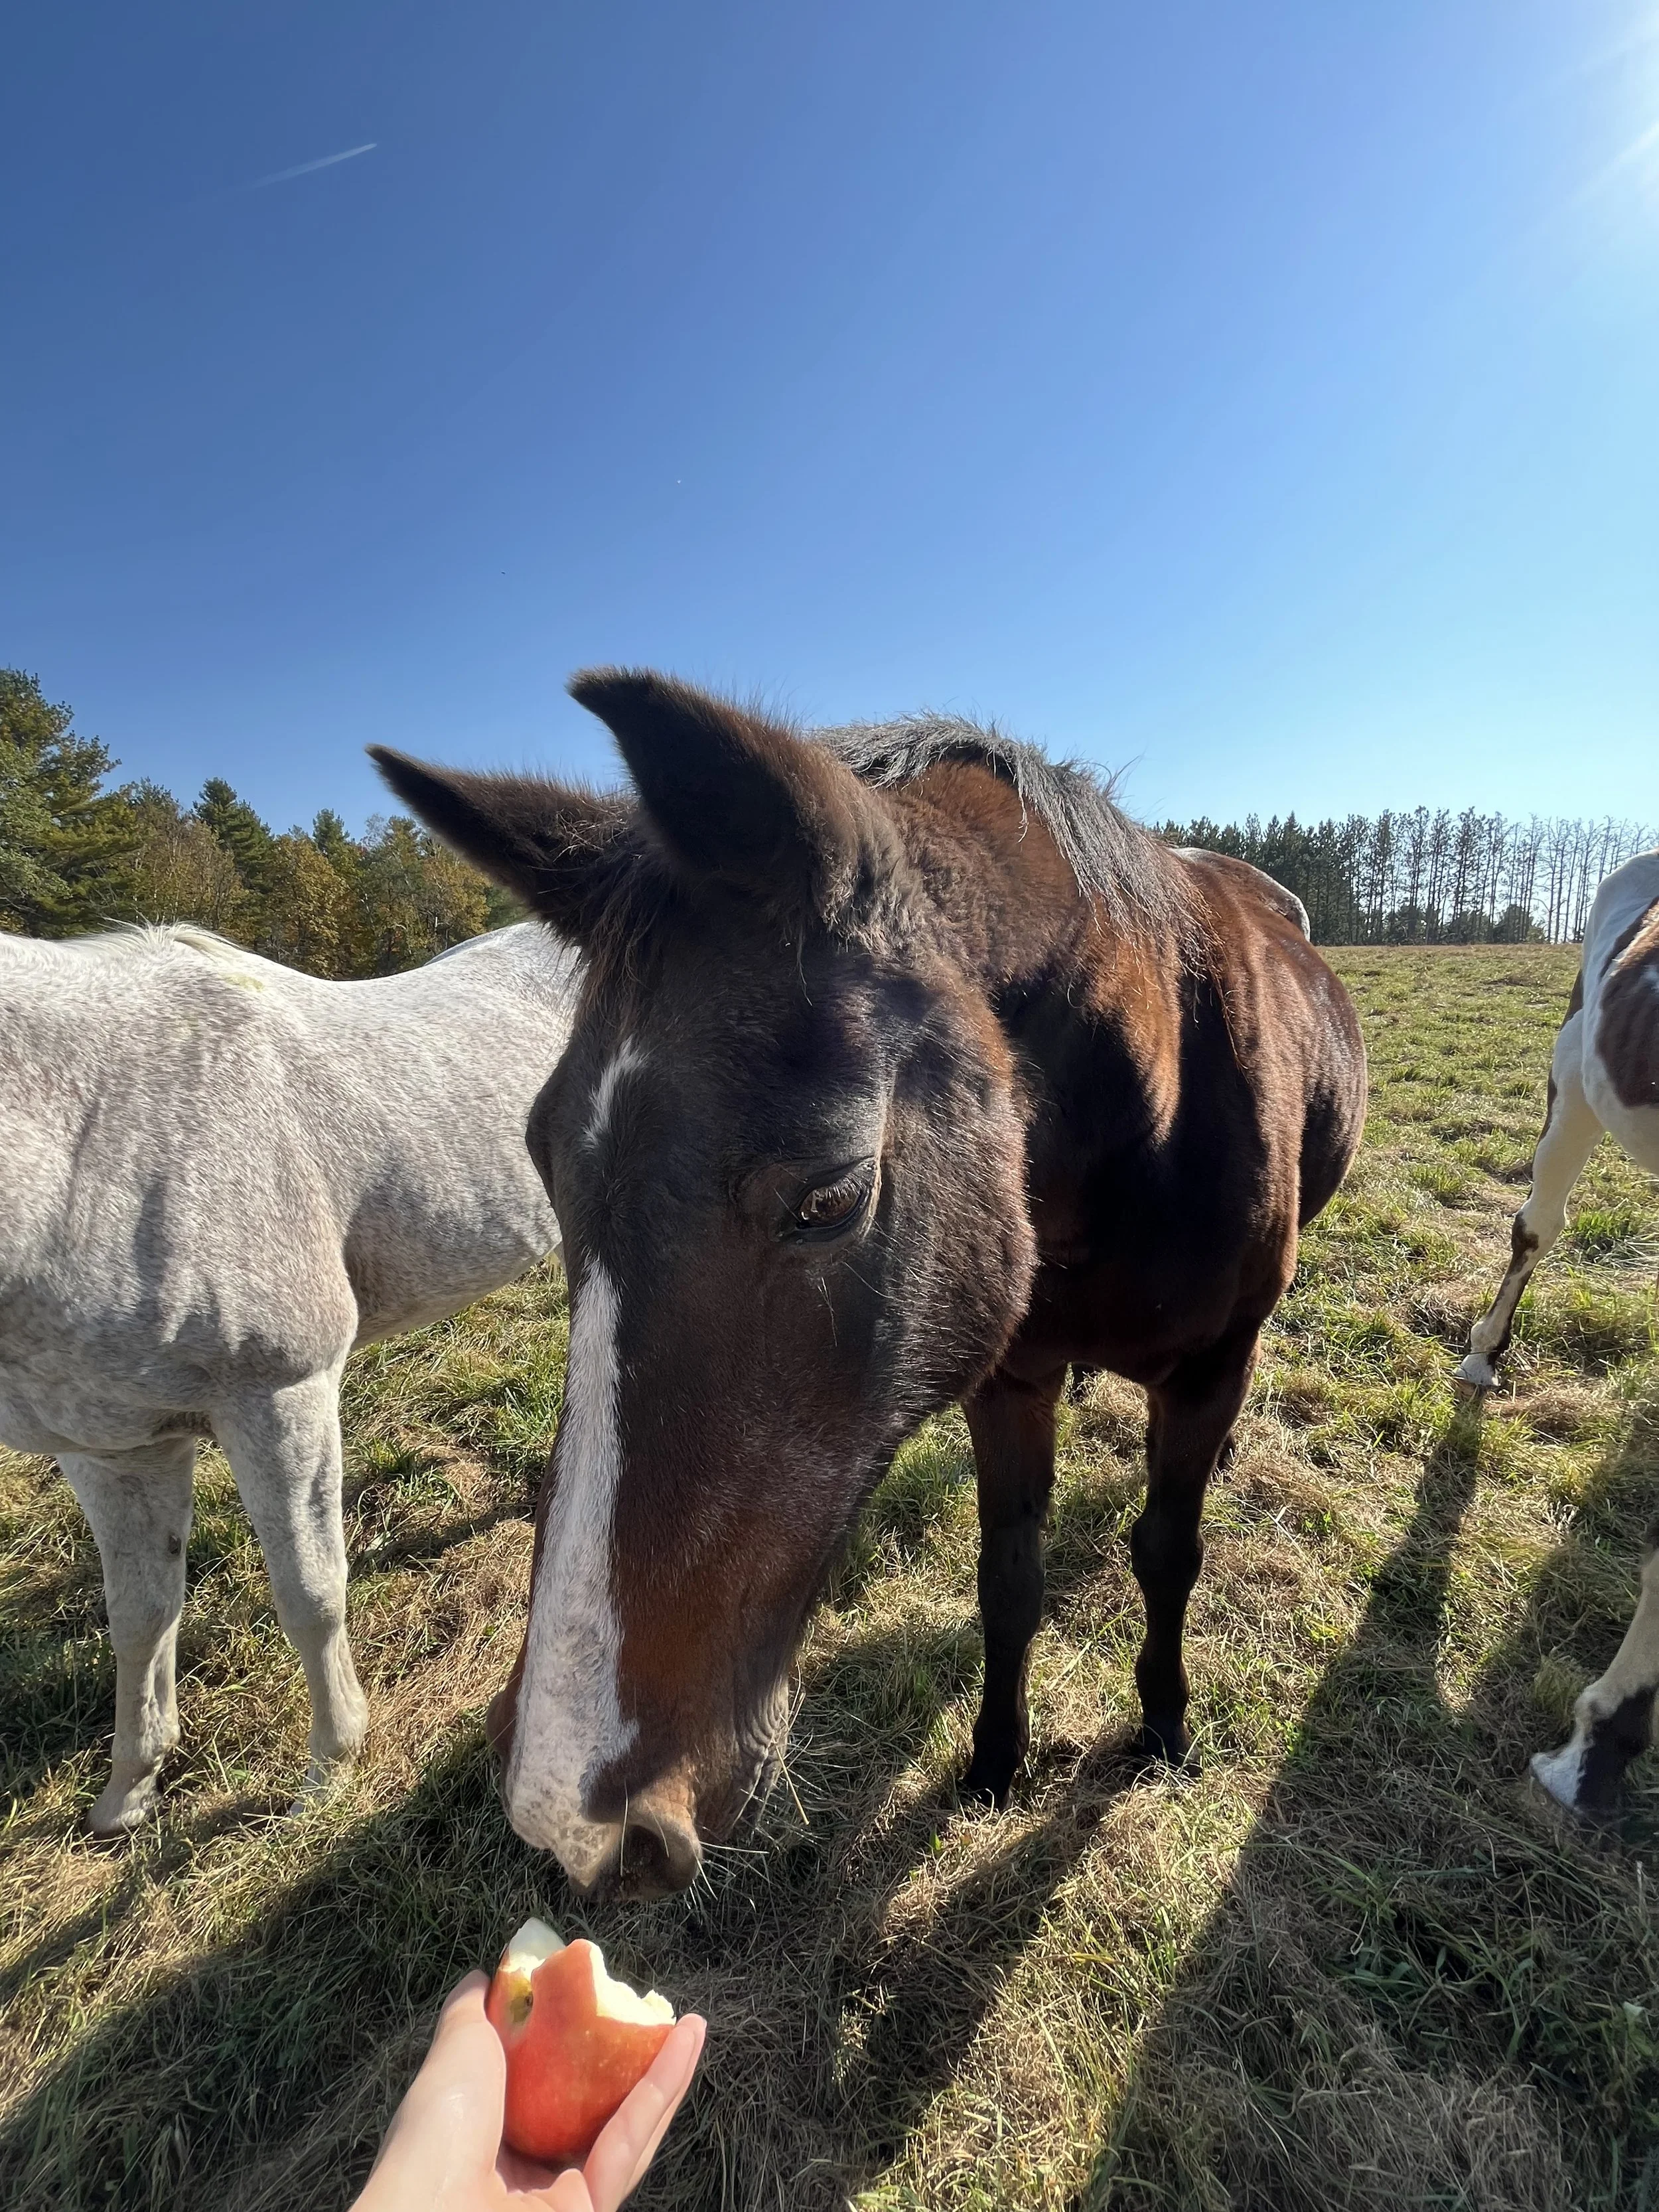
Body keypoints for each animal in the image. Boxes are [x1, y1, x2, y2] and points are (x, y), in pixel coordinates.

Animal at [0, 920, 576, 1833]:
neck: (95, 1142)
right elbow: (140, 1614)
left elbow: (311, 1593)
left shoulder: (280, 1397)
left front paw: (332, 1768)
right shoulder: (113, 1450)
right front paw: (130, 1790)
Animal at [373, 670, 1368, 1897]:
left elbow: (1168, 1554)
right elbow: (1010, 1575)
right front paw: (995, 1758)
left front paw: (1167, 1728)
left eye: (831, 1197)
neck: (1151, 1101)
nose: (569, 1807)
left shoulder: (1207, 1369)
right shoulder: (1010, 1378)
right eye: (539, 1156)